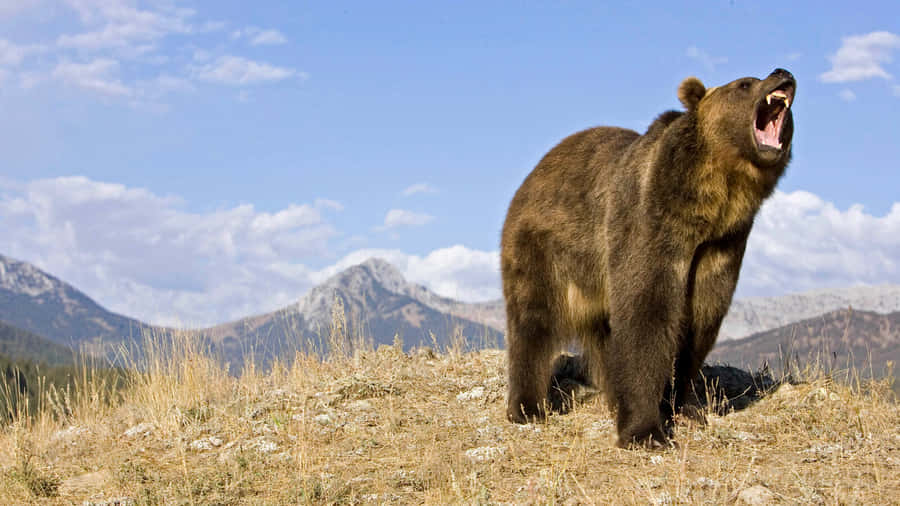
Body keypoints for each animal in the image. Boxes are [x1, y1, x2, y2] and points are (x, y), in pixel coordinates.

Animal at [501, 68, 795, 448]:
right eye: (745, 83)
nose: (782, 73)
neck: (715, 198)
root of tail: (535, 172)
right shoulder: (651, 220)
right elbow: (647, 312)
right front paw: (646, 430)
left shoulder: (723, 244)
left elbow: (700, 319)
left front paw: (683, 406)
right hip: (544, 246)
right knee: (533, 321)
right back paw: (527, 407)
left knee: (605, 336)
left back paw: (613, 397)